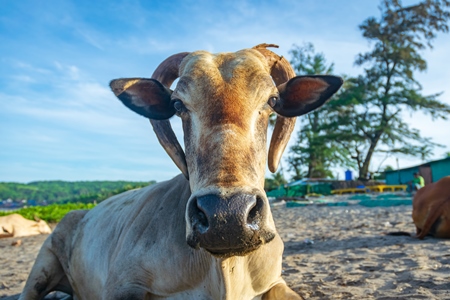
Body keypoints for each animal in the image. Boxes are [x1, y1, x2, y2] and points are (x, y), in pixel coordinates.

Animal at [18, 44, 342, 300]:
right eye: (177, 104)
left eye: (272, 100)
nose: (226, 216)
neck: (223, 269)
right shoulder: (123, 285)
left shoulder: (274, 281)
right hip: (43, 264)